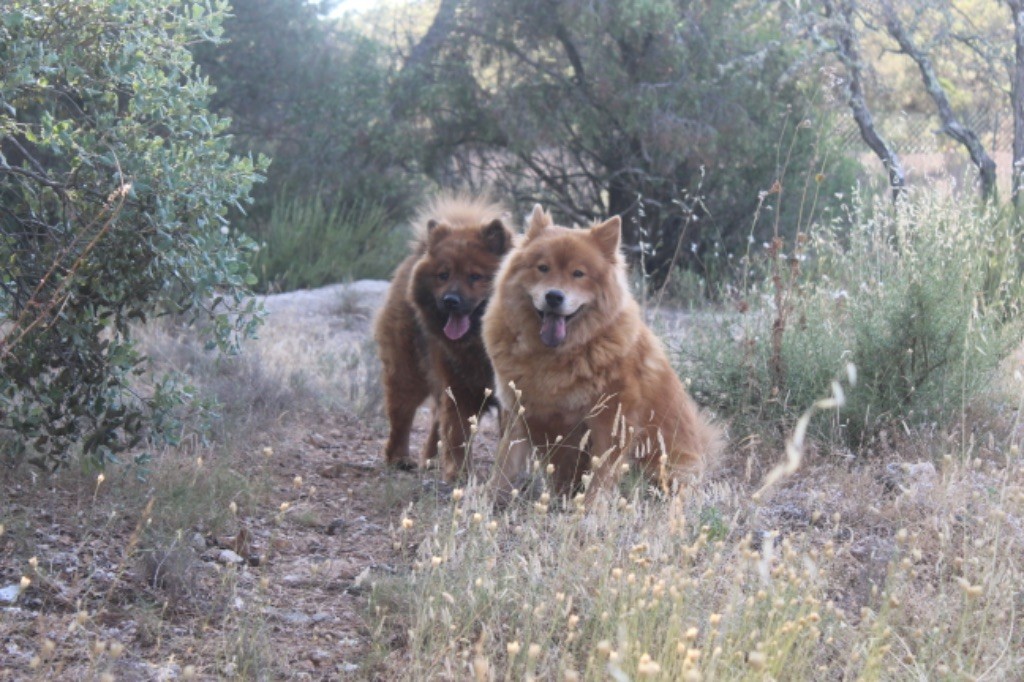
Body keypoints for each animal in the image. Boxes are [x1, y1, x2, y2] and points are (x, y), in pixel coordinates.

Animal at [374, 193, 512, 481]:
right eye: (443, 275)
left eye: (475, 276)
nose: (450, 300)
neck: (477, 346)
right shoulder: (459, 387)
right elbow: (457, 434)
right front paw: (460, 474)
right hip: (409, 372)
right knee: (402, 415)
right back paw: (400, 458)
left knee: (436, 419)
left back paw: (432, 460)